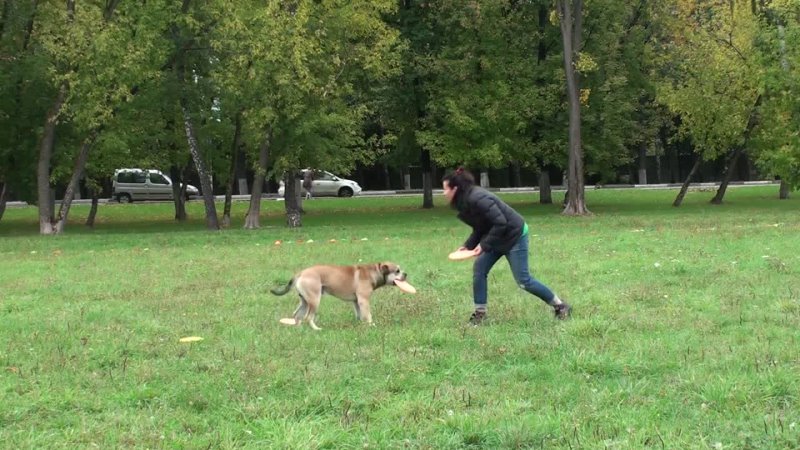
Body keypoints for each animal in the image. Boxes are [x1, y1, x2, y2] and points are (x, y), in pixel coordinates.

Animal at [272, 262, 410, 328]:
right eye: (397, 271)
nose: (406, 274)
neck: (374, 272)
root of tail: (301, 273)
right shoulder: (364, 300)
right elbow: (368, 315)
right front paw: (371, 325)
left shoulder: (356, 302)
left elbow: (360, 315)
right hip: (314, 300)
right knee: (308, 317)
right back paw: (316, 329)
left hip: (304, 301)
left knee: (297, 315)